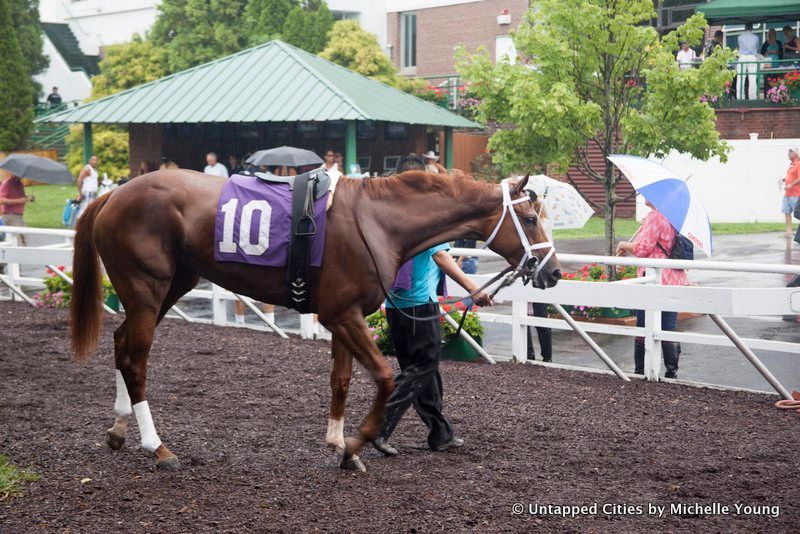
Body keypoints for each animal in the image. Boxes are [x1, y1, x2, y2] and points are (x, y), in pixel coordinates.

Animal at [69, 170, 560, 472]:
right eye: (529, 218)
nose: (553, 272)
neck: (377, 222)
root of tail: (114, 194)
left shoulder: (346, 317)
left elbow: (340, 380)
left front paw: (340, 445)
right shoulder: (341, 314)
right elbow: (384, 377)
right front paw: (359, 443)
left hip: (171, 286)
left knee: (120, 344)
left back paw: (118, 430)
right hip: (146, 290)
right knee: (135, 361)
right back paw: (158, 447)